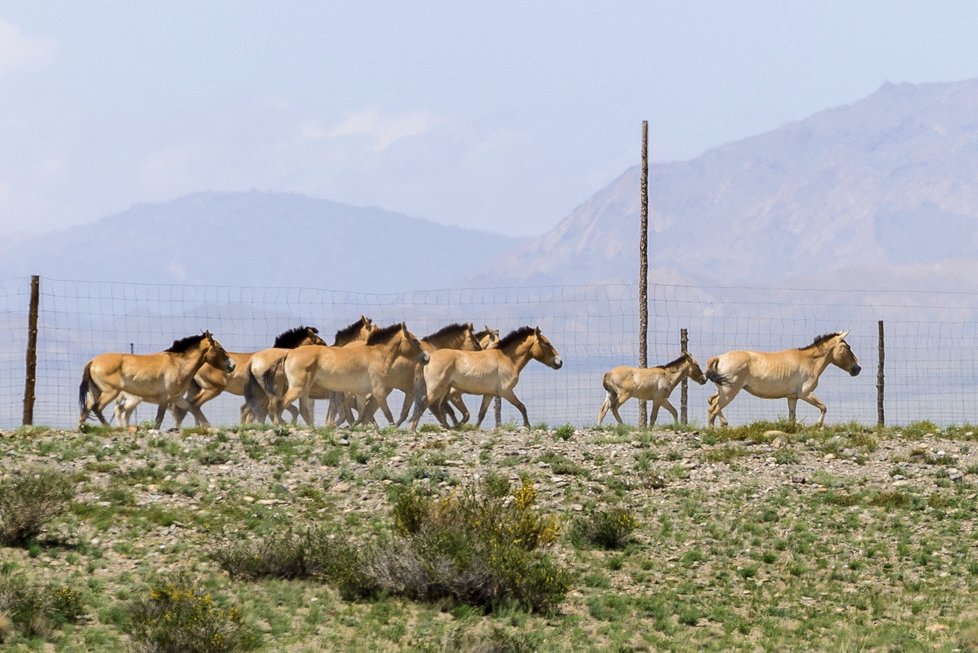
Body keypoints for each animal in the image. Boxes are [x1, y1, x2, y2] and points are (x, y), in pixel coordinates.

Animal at [80, 332, 233, 428]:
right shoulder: (164, 398)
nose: (232, 366)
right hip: (111, 392)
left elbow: (192, 408)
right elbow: (159, 419)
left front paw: (208, 427)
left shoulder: (176, 398)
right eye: (220, 348)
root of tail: (93, 362)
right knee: (97, 408)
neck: (178, 365)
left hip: (95, 392)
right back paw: (108, 428)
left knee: (85, 411)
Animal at [274, 322, 428, 428]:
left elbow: (360, 415)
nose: (427, 357)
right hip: (298, 388)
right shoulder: (378, 392)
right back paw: (281, 425)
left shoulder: (359, 393)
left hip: (304, 391)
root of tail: (288, 354)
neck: (377, 356)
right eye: (414, 340)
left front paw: (347, 428)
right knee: (281, 403)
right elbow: (385, 413)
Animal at [406, 326, 560, 432]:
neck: (507, 359)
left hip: (443, 390)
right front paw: (527, 426)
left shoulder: (489, 394)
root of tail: (429, 357)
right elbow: (521, 406)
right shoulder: (506, 392)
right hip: (436, 388)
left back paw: (448, 427)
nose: (559, 362)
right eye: (546, 343)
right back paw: (414, 429)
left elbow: (481, 413)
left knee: (436, 407)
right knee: (425, 405)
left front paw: (473, 428)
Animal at [704, 332, 856, 428]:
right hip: (729, 392)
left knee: (712, 402)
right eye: (848, 347)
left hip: (723, 390)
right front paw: (818, 425)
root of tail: (719, 358)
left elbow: (792, 418)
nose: (857, 368)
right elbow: (824, 407)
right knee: (713, 409)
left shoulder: (792, 397)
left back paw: (724, 424)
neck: (809, 361)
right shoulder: (805, 394)